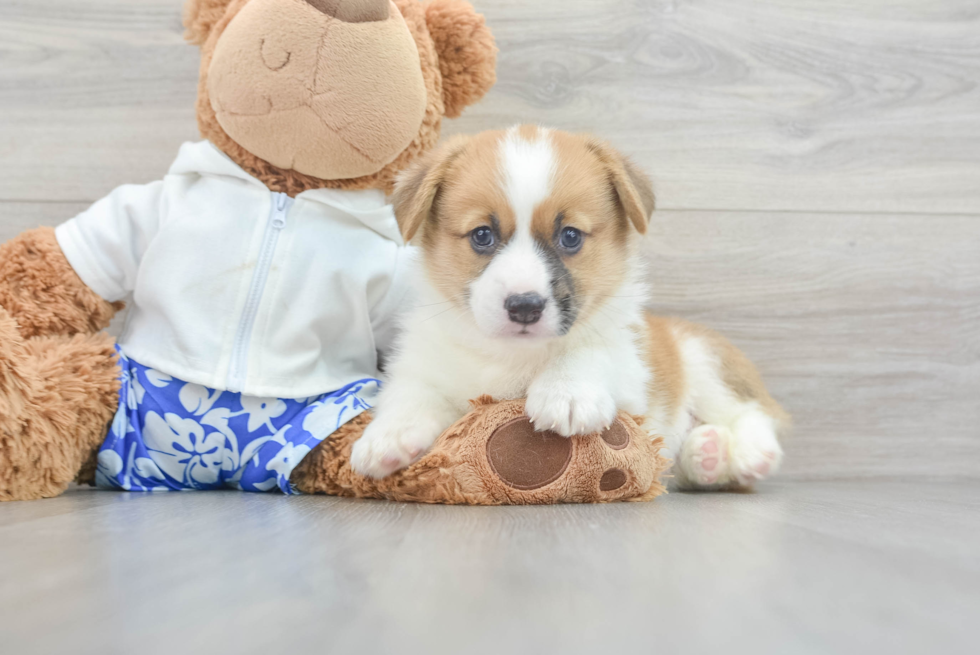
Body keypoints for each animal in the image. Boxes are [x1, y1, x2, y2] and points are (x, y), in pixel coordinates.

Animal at [352, 125, 788, 490]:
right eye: (482, 235)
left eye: (570, 236)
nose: (524, 307)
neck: (514, 357)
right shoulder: (424, 368)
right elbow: (410, 396)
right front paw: (385, 437)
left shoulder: (631, 377)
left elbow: (588, 351)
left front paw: (567, 392)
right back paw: (707, 453)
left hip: (704, 360)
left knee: (755, 412)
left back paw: (749, 452)